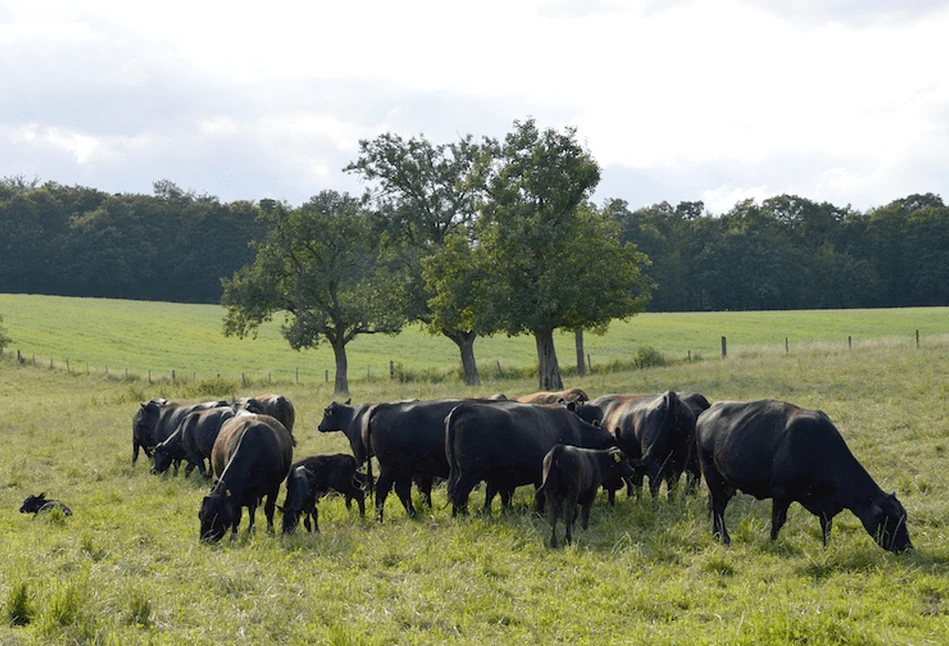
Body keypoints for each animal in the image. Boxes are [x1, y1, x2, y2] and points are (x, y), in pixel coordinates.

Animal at [197, 412, 292, 544]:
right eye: (200, 515)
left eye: (209, 518)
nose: (204, 540)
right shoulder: (238, 495)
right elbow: (236, 516)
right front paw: (233, 537)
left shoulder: (274, 487)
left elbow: (269, 509)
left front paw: (270, 531)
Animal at [696, 398, 912, 556]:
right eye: (890, 520)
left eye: (904, 517)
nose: (907, 547)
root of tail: (708, 411)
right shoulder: (781, 494)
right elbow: (777, 521)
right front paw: (773, 543)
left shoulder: (825, 504)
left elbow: (826, 526)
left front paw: (827, 548)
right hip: (713, 478)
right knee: (718, 508)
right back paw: (724, 538)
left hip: (724, 484)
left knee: (715, 507)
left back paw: (717, 536)